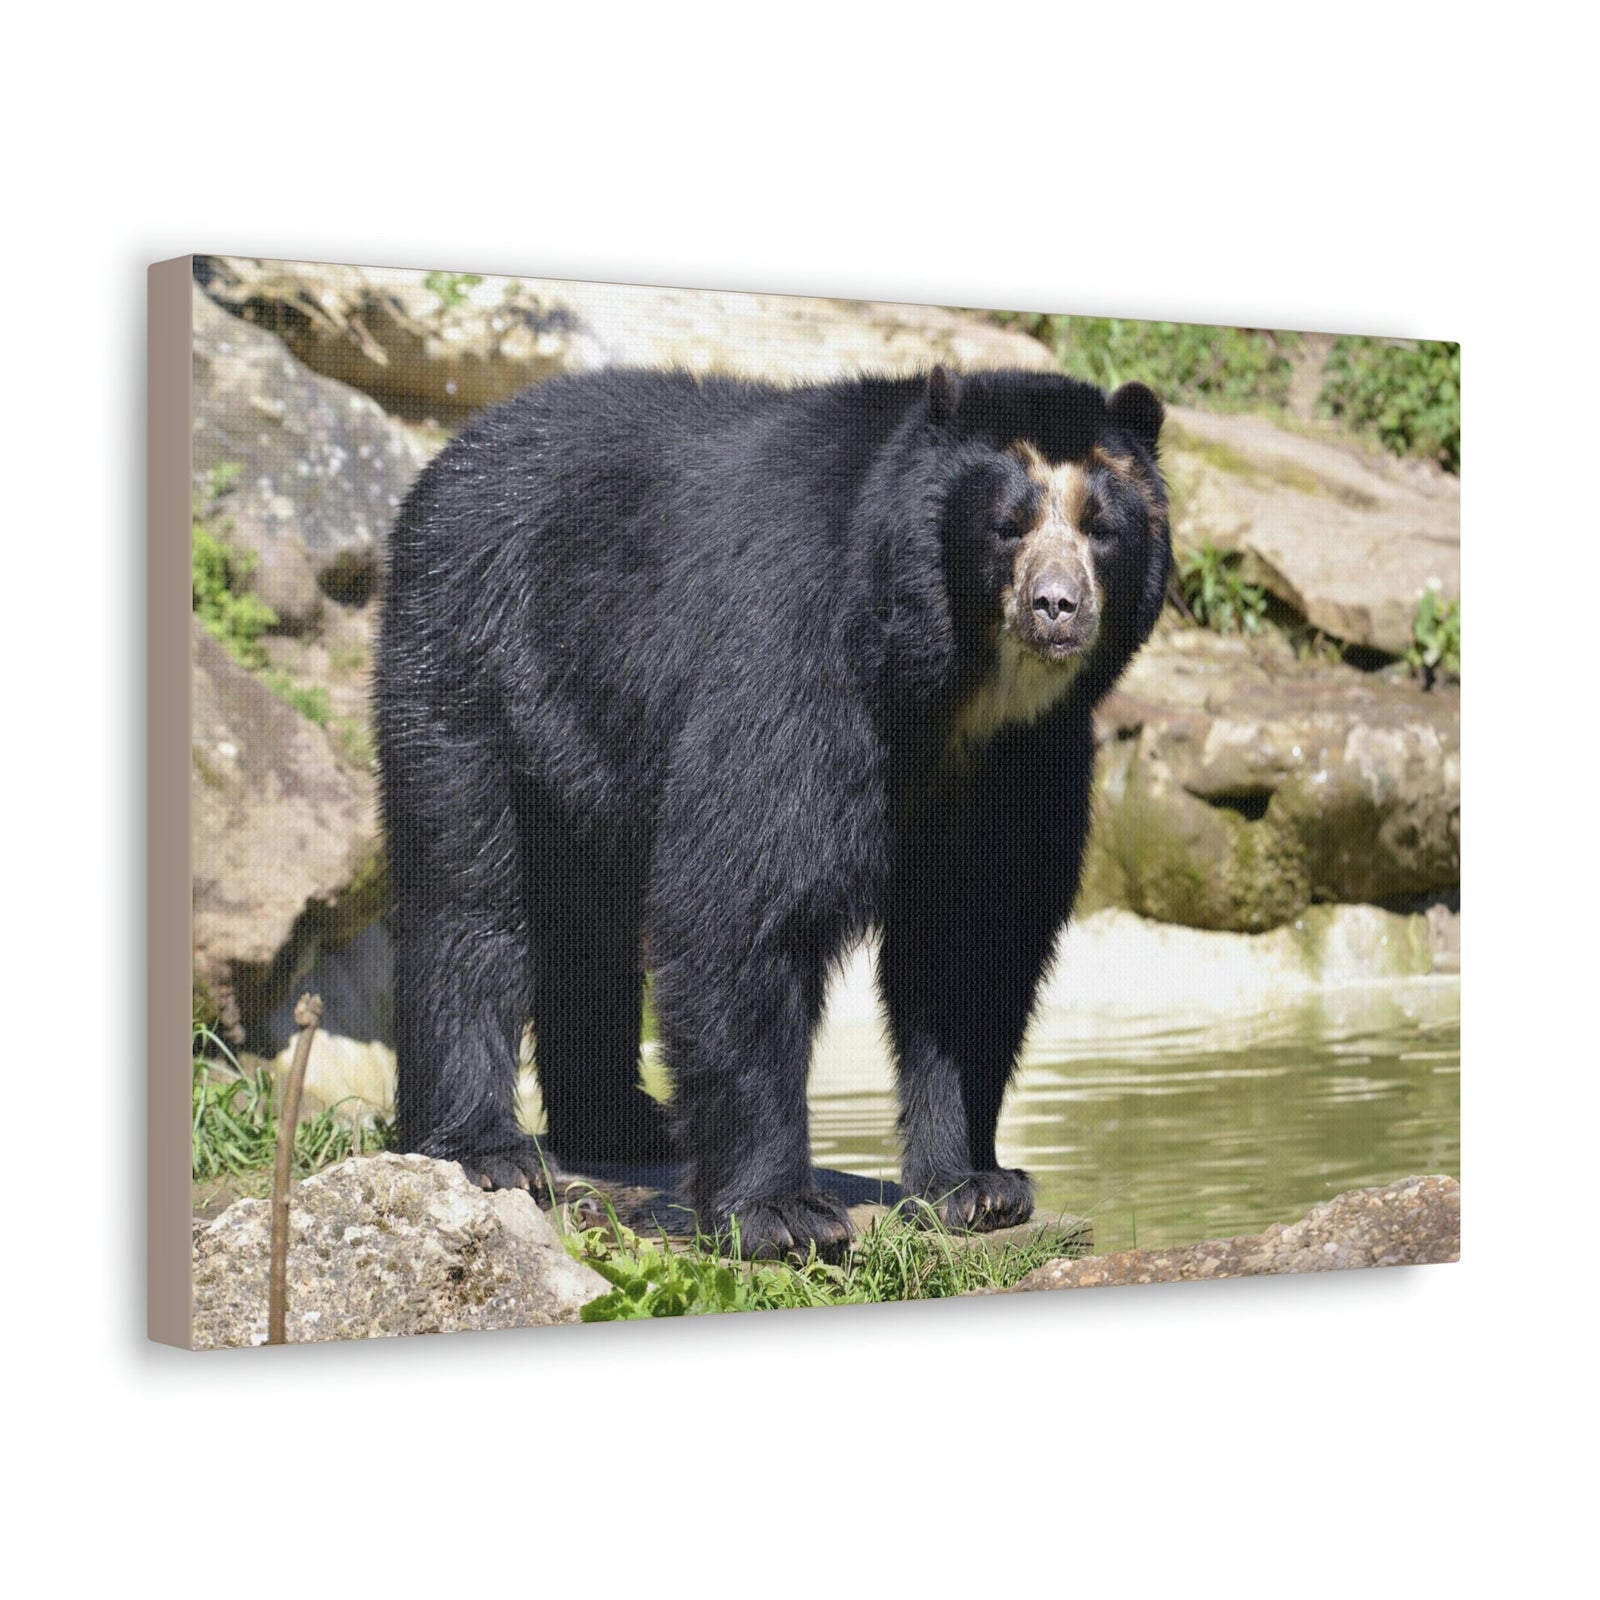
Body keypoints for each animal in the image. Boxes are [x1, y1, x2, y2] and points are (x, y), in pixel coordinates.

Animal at [375, 364, 1169, 1259]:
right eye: (1007, 526)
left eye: (1103, 529)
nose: (1056, 606)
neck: (956, 690)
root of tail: (454, 453)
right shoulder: (795, 654)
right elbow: (743, 901)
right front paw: (783, 1215)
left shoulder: (1027, 758)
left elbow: (976, 940)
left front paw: (979, 1187)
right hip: (472, 655)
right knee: (467, 894)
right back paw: (485, 1150)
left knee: (585, 922)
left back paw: (624, 1127)